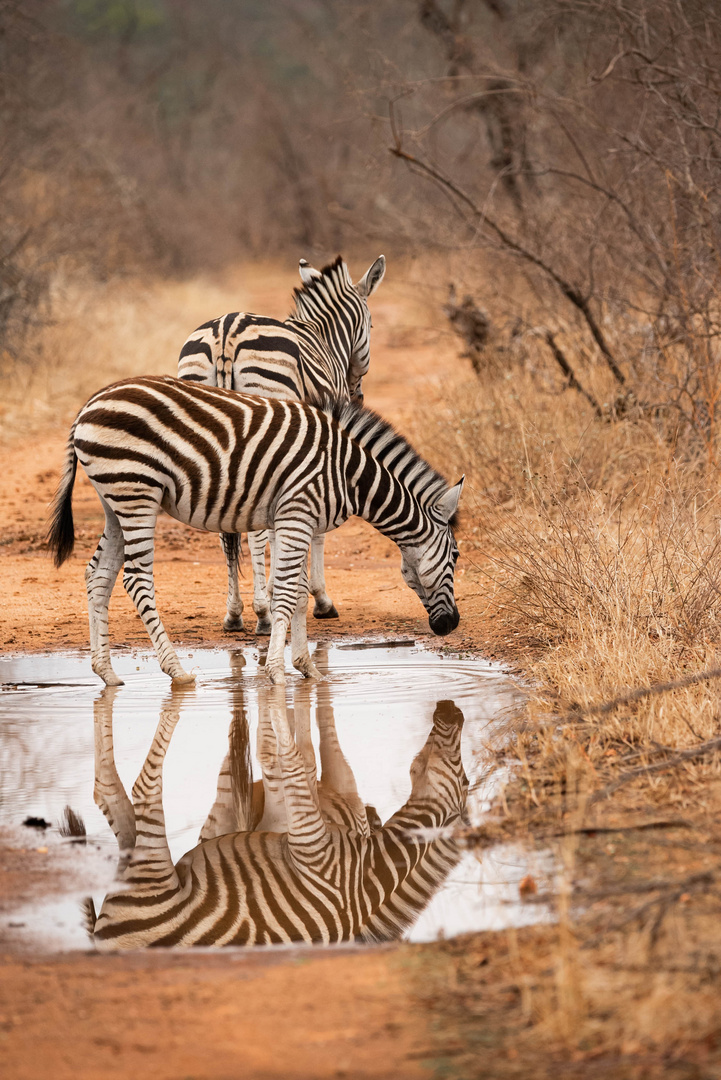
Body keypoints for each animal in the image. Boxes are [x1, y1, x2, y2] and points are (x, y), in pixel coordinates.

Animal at [46, 375, 461, 686]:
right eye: (456, 557)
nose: (450, 625)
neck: (348, 472)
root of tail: (87, 406)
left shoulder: (295, 519)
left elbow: (297, 593)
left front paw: (308, 669)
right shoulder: (297, 513)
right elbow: (287, 594)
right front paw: (277, 673)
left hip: (114, 501)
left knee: (98, 575)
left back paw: (107, 673)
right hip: (136, 492)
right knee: (136, 578)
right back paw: (176, 671)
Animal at [84, 673, 470, 954]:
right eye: (466, 781)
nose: (454, 711)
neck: (366, 876)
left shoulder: (311, 841)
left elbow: (291, 761)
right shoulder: (312, 843)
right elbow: (294, 758)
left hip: (150, 875)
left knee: (129, 793)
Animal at [177, 255, 386, 635]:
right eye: (371, 326)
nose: (357, 397)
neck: (324, 338)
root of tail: (226, 333)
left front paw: (282, 587)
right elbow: (309, 530)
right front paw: (317, 598)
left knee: (227, 530)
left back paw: (234, 614)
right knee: (255, 532)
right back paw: (261, 614)